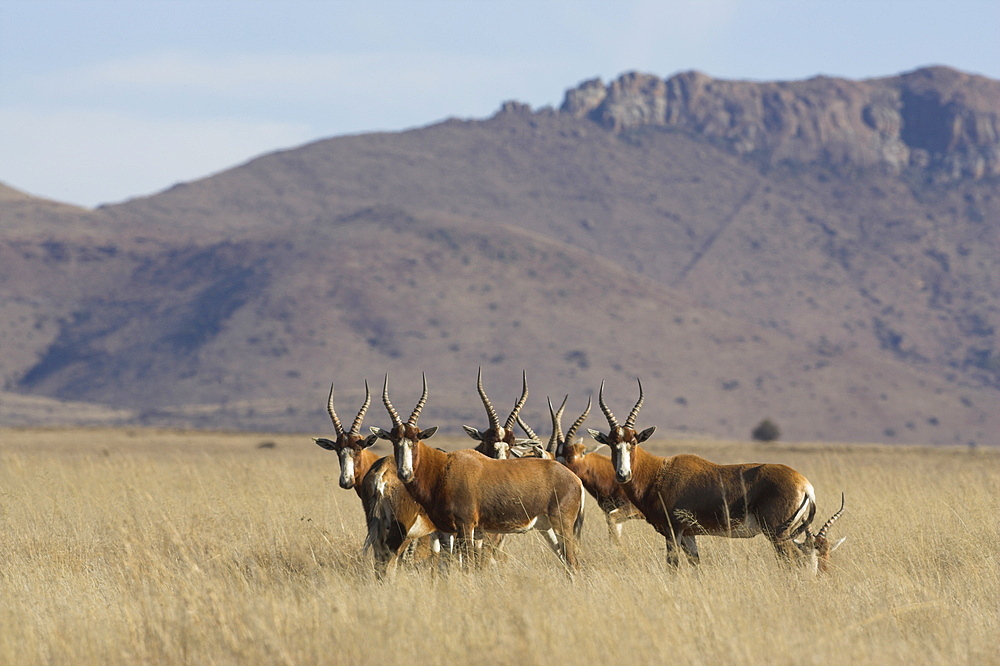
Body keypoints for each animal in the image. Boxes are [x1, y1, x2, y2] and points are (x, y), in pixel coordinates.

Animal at [372, 374, 584, 572]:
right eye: (394, 440)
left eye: (415, 440)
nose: (404, 473)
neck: (444, 468)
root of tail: (574, 479)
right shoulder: (448, 531)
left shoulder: (467, 528)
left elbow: (468, 567)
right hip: (547, 528)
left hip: (560, 525)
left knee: (573, 563)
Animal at [588, 378, 848, 572]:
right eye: (611, 443)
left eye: (633, 442)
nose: (622, 475)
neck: (660, 471)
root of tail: (805, 485)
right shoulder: (689, 535)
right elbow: (696, 566)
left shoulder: (673, 532)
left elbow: (672, 567)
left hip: (779, 534)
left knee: (794, 560)